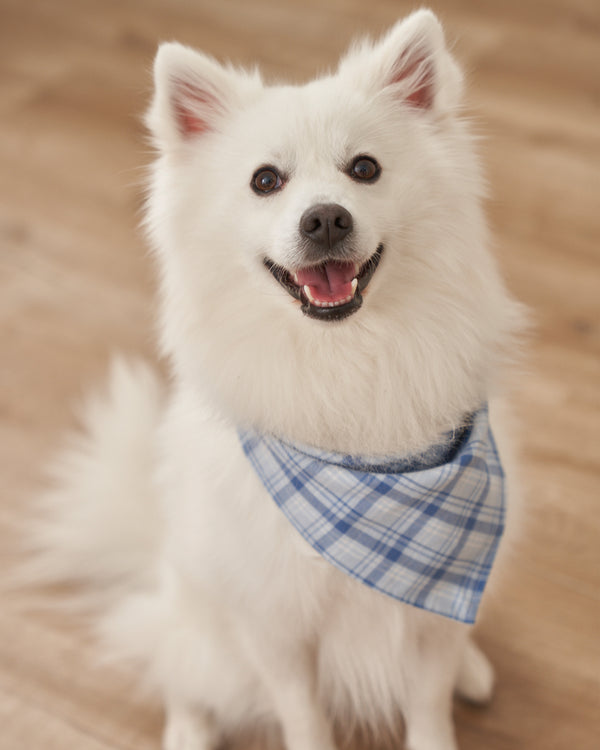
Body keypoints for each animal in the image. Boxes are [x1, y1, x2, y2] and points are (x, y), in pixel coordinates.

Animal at [31, 10, 524, 750]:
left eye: (365, 169)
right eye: (266, 181)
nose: (325, 218)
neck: (343, 363)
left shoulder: (436, 604)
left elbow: (429, 705)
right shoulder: (274, 622)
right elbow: (302, 713)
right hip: (200, 613)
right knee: (180, 668)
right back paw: (187, 729)